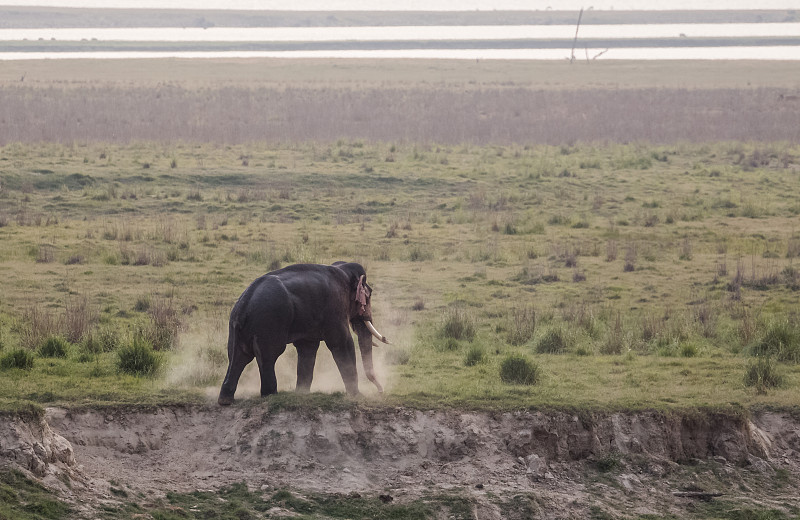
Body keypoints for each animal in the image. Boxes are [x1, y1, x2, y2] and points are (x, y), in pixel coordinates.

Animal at [217, 262, 390, 404]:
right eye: (369, 295)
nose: (380, 391)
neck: (343, 270)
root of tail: (244, 305)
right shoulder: (334, 308)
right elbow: (342, 342)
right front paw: (358, 396)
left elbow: (307, 348)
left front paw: (301, 394)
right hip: (269, 323)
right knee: (268, 356)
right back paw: (271, 395)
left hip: (236, 330)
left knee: (238, 357)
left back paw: (226, 400)